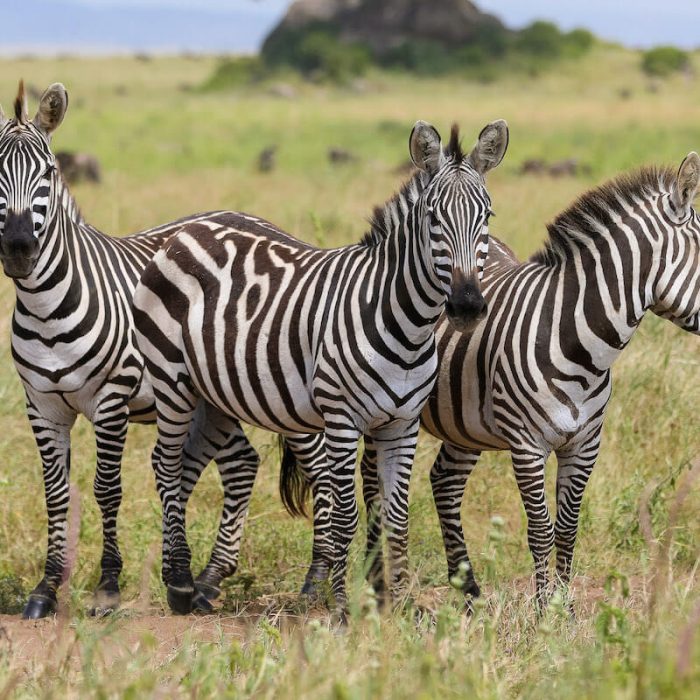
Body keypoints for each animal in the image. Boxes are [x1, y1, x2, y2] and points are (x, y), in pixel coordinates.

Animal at [0, 80, 292, 616]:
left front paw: (107, 587)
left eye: (49, 173)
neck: (45, 305)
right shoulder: (42, 405)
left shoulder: (112, 398)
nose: (18, 249)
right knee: (242, 465)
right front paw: (46, 589)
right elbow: (55, 493)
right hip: (216, 398)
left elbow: (106, 488)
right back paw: (209, 581)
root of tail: (258, 220)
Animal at [133, 117, 508, 608]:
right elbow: (346, 517)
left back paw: (190, 583)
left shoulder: (403, 424)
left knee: (188, 463)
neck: (406, 326)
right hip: (170, 377)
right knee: (167, 462)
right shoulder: (343, 419)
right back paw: (178, 582)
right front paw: (343, 609)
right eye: (432, 218)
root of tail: (190, 228)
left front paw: (401, 604)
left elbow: (397, 516)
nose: (466, 306)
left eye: (487, 217)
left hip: (211, 392)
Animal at [358, 154, 700, 608]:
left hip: (464, 422)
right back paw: (374, 579)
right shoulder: (526, 445)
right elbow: (540, 530)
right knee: (372, 482)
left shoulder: (584, 446)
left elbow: (568, 529)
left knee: (444, 481)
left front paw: (565, 608)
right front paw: (542, 611)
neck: (580, 344)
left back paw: (468, 591)